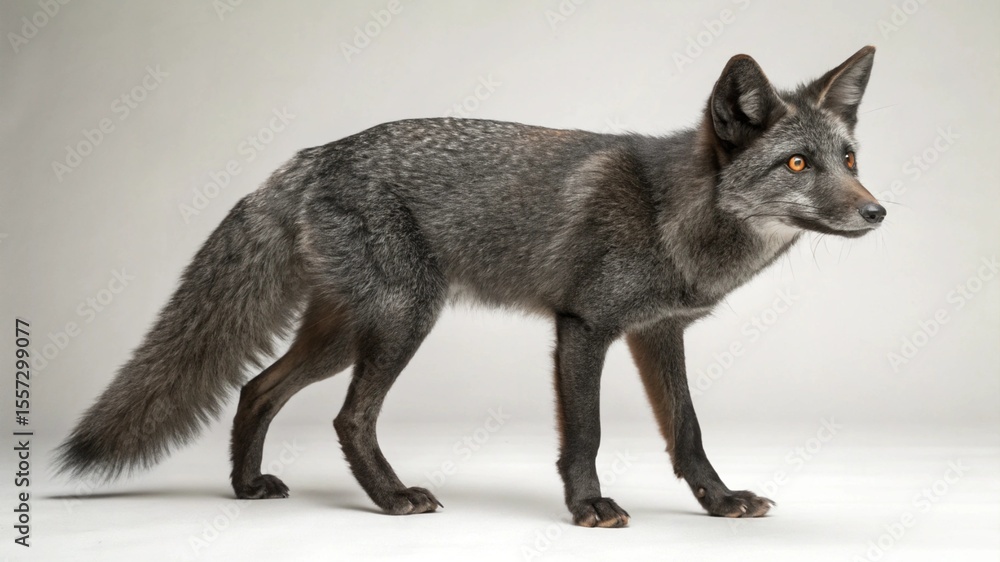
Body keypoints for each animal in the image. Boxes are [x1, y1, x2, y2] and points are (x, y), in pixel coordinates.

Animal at [57, 46, 884, 528]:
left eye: (848, 159)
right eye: (798, 164)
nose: (878, 212)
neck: (671, 216)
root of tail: (310, 156)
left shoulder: (658, 332)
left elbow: (688, 432)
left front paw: (718, 501)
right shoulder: (583, 326)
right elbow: (586, 433)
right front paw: (587, 507)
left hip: (344, 332)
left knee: (258, 388)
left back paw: (246, 486)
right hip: (401, 323)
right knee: (348, 418)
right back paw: (391, 499)